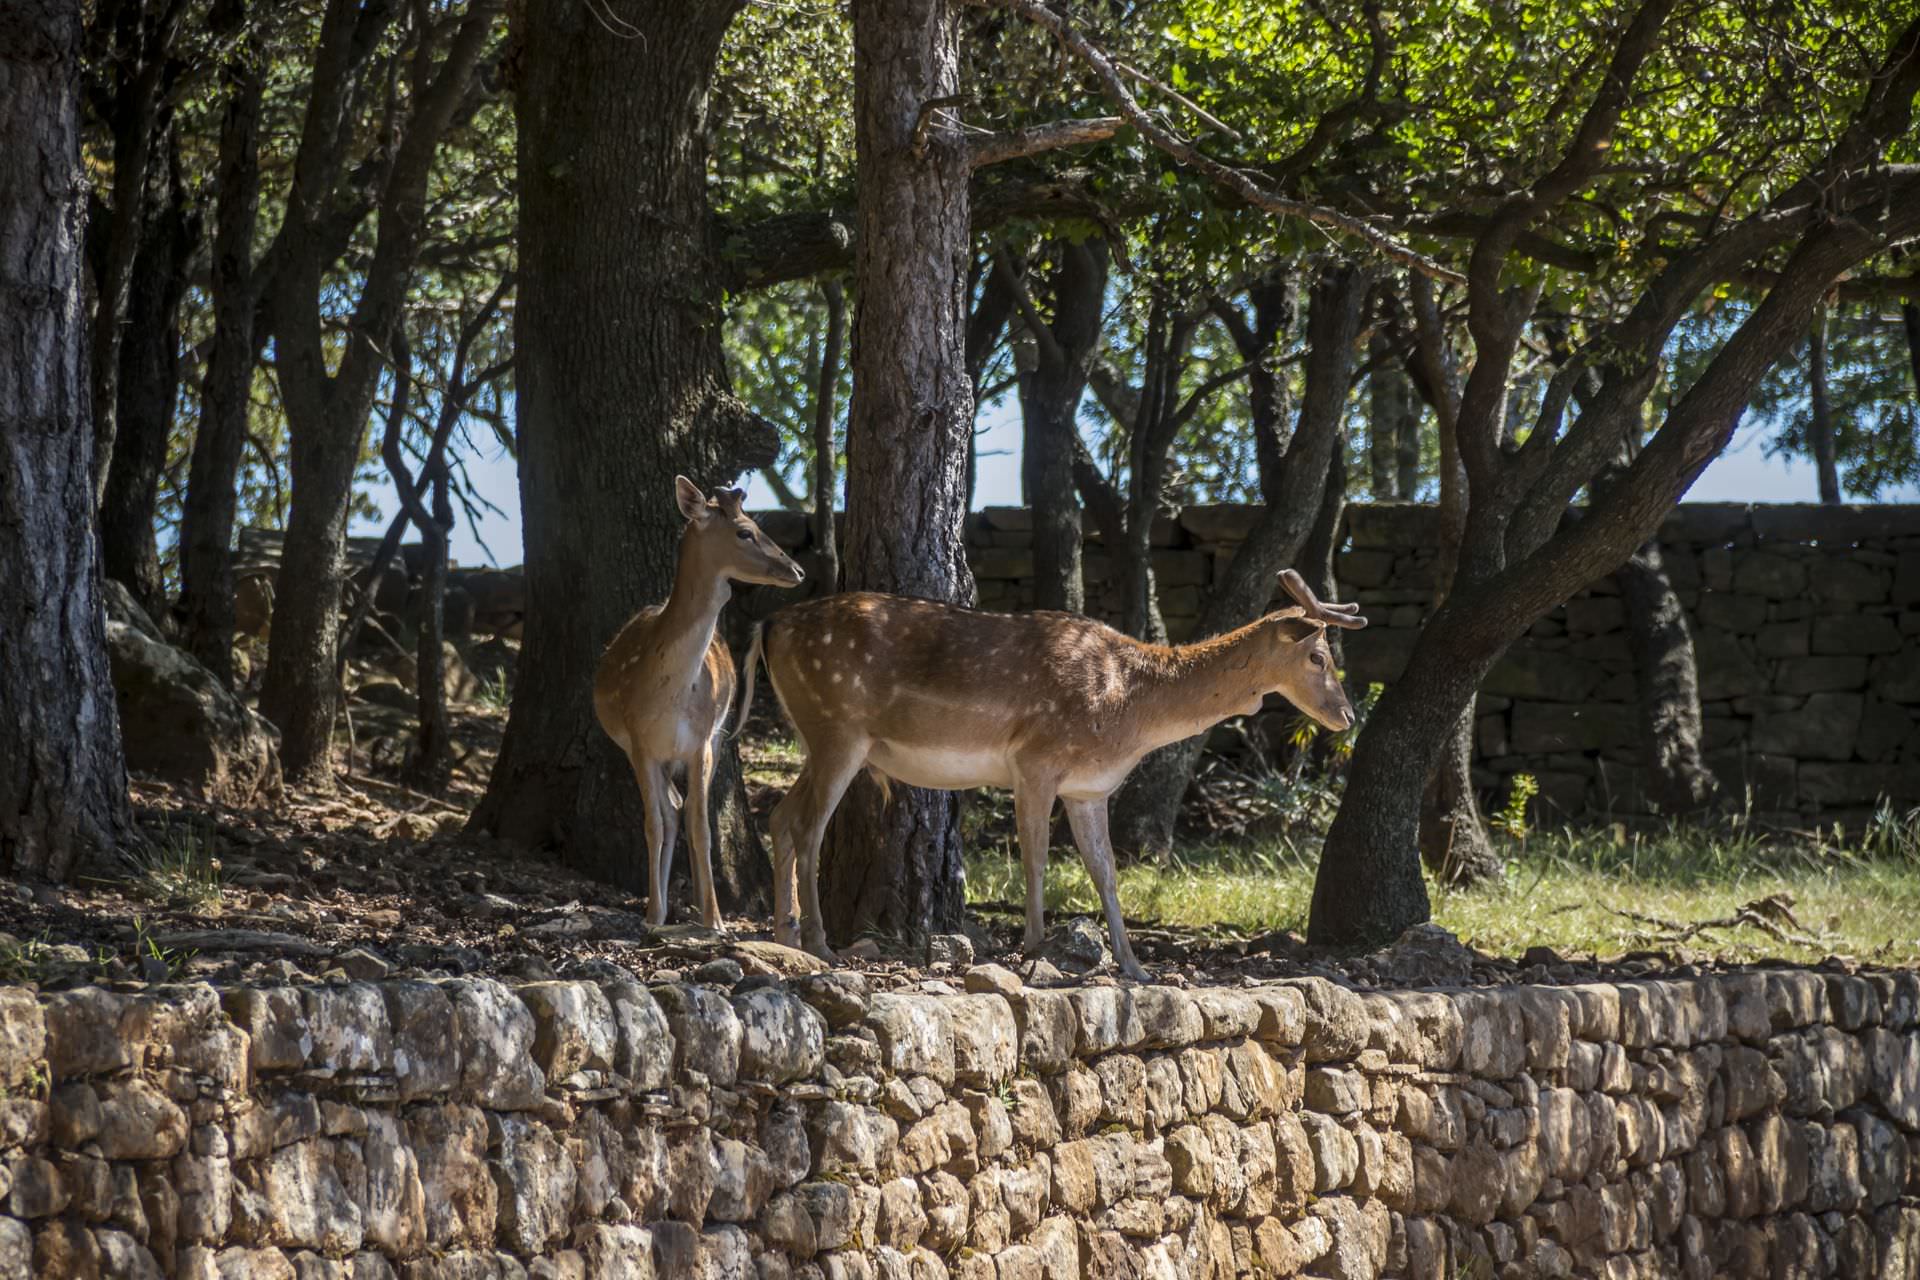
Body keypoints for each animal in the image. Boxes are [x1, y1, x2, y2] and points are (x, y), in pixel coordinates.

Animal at [599, 479, 810, 932]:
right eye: (745, 531)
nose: (798, 570)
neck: (671, 693)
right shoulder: (640, 742)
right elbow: (653, 824)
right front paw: (652, 915)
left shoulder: (700, 742)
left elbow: (702, 827)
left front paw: (714, 920)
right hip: (640, 752)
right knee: (670, 810)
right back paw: (666, 906)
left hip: (714, 739)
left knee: (686, 809)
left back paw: (697, 902)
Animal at [733, 564, 1367, 974]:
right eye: (1318, 656)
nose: (1346, 714)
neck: (1129, 711)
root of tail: (768, 626)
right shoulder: (1035, 759)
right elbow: (1036, 857)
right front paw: (1036, 945)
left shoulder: (1089, 789)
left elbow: (1105, 872)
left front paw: (1135, 966)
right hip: (838, 727)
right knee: (808, 826)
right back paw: (819, 944)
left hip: (819, 737)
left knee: (782, 818)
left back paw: (785, 936)